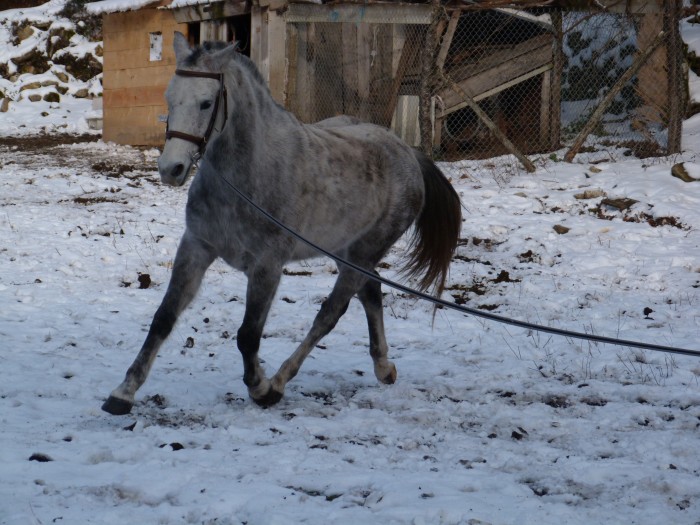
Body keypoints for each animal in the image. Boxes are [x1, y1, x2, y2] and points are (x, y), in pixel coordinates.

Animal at [101, 32, 462, 415]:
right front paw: (123, 393)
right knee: (372, 291)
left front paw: (260, 388)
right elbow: (164, 317)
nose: (171, 169)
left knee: (330, 313)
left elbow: (248, 334)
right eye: (169, 98)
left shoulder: (267, 266)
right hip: (345, 251)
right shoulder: (196, 246)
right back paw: (383, 367)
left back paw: (281, 380)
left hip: (362, 255)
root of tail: (407, 152)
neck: (247, 177)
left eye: (205, 103)